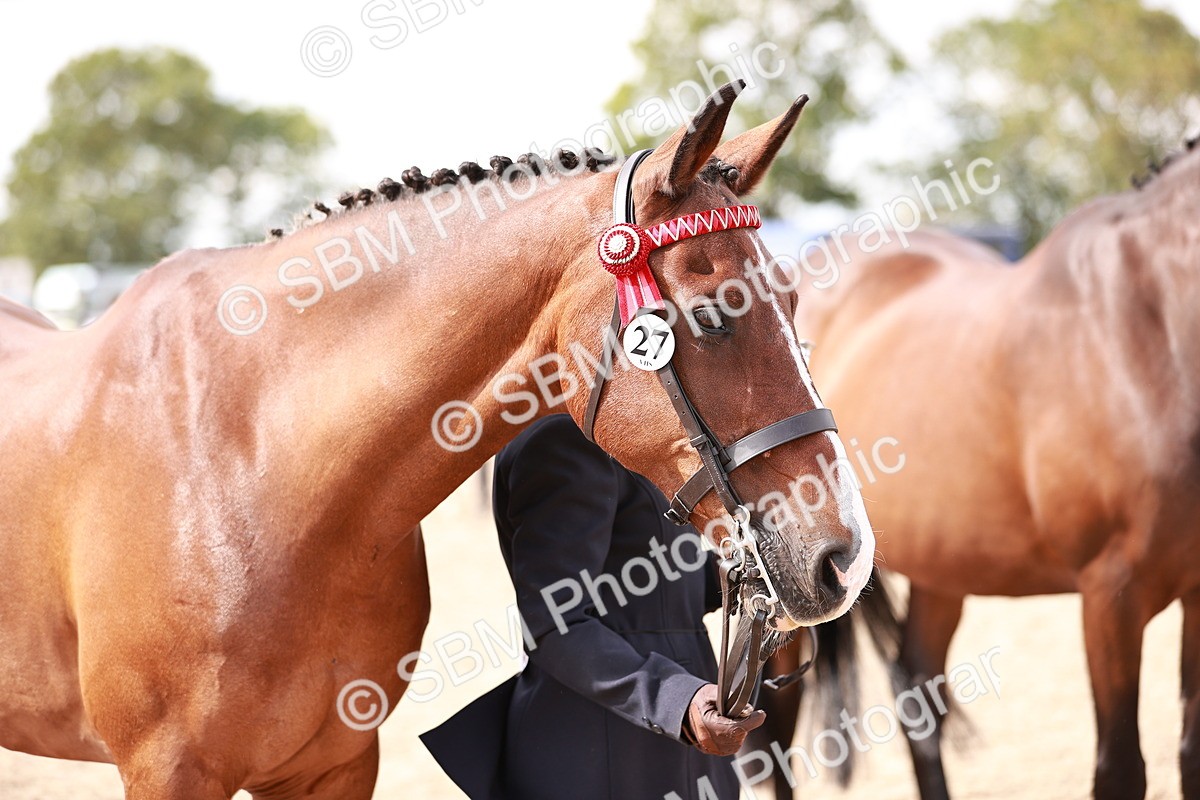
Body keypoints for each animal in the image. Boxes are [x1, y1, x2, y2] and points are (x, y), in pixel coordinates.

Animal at [0, 83, 877, 799]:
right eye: (713, 315)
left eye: (795, 300)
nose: (846, 559)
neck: (252, 467)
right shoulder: (167, 771)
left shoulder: (338, 764)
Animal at [758, 139, 1200, 800]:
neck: (1152, 329)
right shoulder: (1111, 596)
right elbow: (1121, 768)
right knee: (779, 724)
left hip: (943, 564)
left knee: (917, 689)